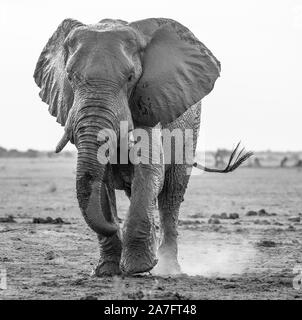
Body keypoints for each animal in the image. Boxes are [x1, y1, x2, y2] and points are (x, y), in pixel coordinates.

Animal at [33, 17, 251, 276]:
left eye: (130, 78)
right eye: (70, 77)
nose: (114, 223)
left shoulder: (148, 106)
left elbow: (149, 171)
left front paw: (138, 268)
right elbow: (100, 184)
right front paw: (107, 271)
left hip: (190, 130)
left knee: (171, 195)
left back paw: (168, 268)